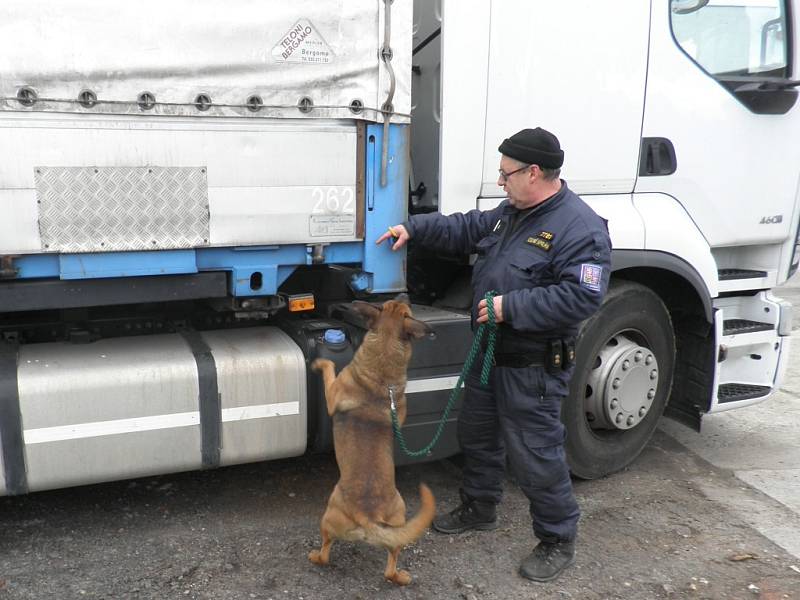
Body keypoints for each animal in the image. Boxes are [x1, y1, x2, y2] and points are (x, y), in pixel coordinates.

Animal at [310, 296, 438, 584]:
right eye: (393, 303)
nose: (405, 295)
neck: (381, 376)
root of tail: (367, 515)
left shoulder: (332, 393)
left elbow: (329, 368)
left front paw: (319, 363)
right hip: (398, 520)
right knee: (391, 564)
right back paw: (401, 576)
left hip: (327, 518)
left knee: (325, 553)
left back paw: (314, 556)